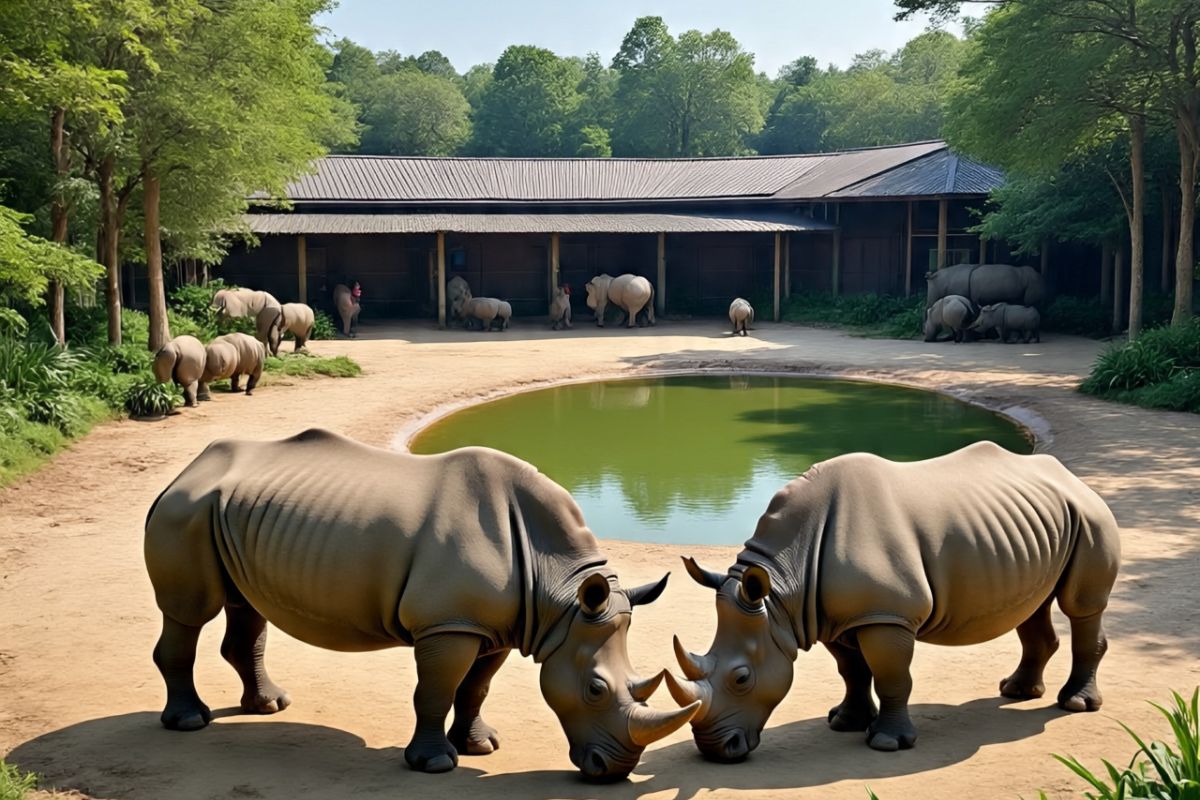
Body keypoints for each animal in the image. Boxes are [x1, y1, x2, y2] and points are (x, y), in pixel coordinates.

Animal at [144, 429, 698, 779]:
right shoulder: (447, 624)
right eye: (596, 689)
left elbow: (475, 688)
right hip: (186, 512)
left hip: (226, 513)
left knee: (246, 607)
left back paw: (269, 706)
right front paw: (435, 764)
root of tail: (184, 471)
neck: (560, 597)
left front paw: (480, 746)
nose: (613, 772)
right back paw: (190, 722)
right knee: (189, 613)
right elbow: (436, 689)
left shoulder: (497, 625)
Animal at [666, 441, 1120, 761]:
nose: (716, 751)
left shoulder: (887, 615)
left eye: (741, 678)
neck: (781, 590)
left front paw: (886, 743)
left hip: (1091, 515)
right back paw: (1016, 692)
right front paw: (845, 722)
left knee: (1081, 606)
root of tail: (1071, 476)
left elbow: (891, 675)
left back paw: (1075, 705)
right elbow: (851, 671)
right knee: (1032, 605)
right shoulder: (836, 616)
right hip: (1038, 525)